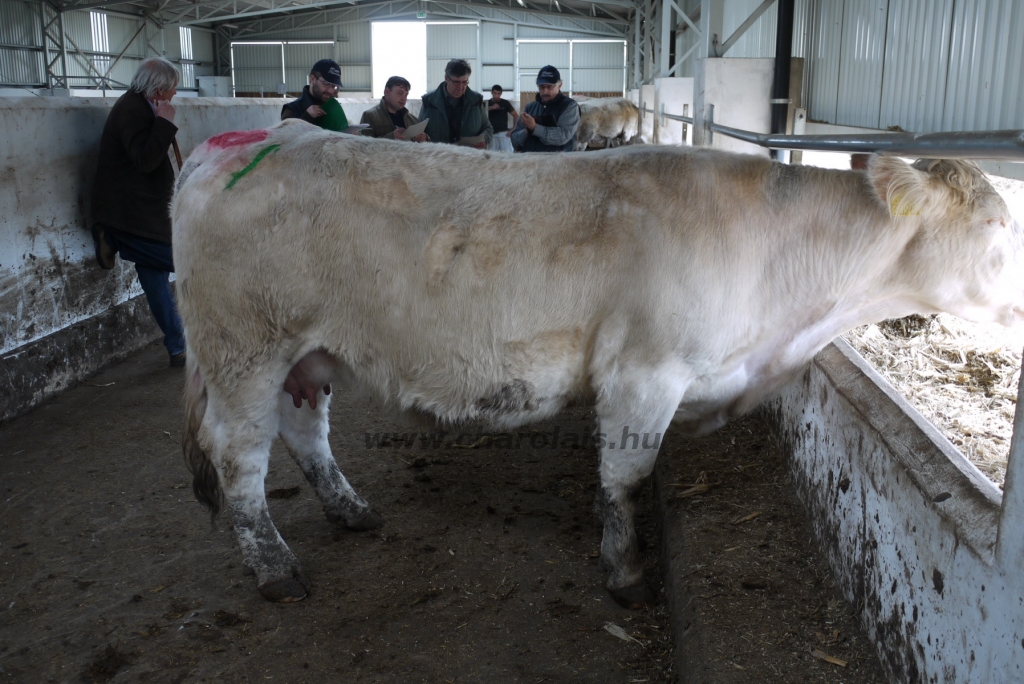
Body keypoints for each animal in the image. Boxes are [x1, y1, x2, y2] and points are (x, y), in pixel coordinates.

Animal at [172, 120, 1019, 606]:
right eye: (997, 228)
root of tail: (238, 141)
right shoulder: (645, 371)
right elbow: (627, 475)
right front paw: (624, 570)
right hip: (242, 345)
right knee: (238, 455)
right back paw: (274, 569)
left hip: (305, 352)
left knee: (303, 432)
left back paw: (349, 510)